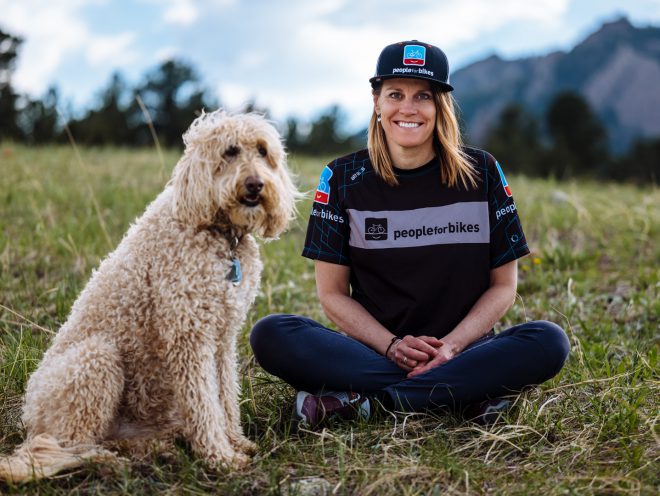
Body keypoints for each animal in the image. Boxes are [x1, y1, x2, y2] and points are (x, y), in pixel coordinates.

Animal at [0, 110, 300, 482]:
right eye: (230, 151)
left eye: (262, 151)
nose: (256, 184)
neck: (219, 232)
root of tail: (28, 418)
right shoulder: (189, 334)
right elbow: (204, 402)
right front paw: (219, 457)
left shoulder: (222, 337)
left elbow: (225, 395)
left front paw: (235, 441)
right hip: (95, 361)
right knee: (70, 444)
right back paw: (108, 461)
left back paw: (158, 449)